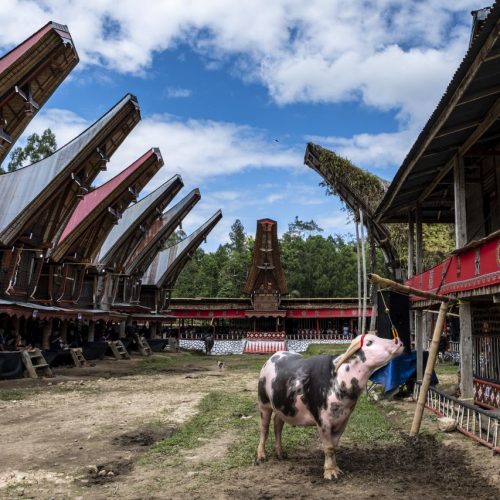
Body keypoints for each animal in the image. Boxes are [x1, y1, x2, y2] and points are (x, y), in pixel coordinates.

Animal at [256, 334, 404, 478]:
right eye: (369, 342)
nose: (398, 341)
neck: (339, 380)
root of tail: (271, 359)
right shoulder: (322, 421)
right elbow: (328, 447)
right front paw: (330, 472)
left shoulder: (343, 420)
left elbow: (334, 446)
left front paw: (336, 468)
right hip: (264, 403)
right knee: (264, 428)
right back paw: (261, 456)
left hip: (281, 407)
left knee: (278, 425)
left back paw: (281, 454)